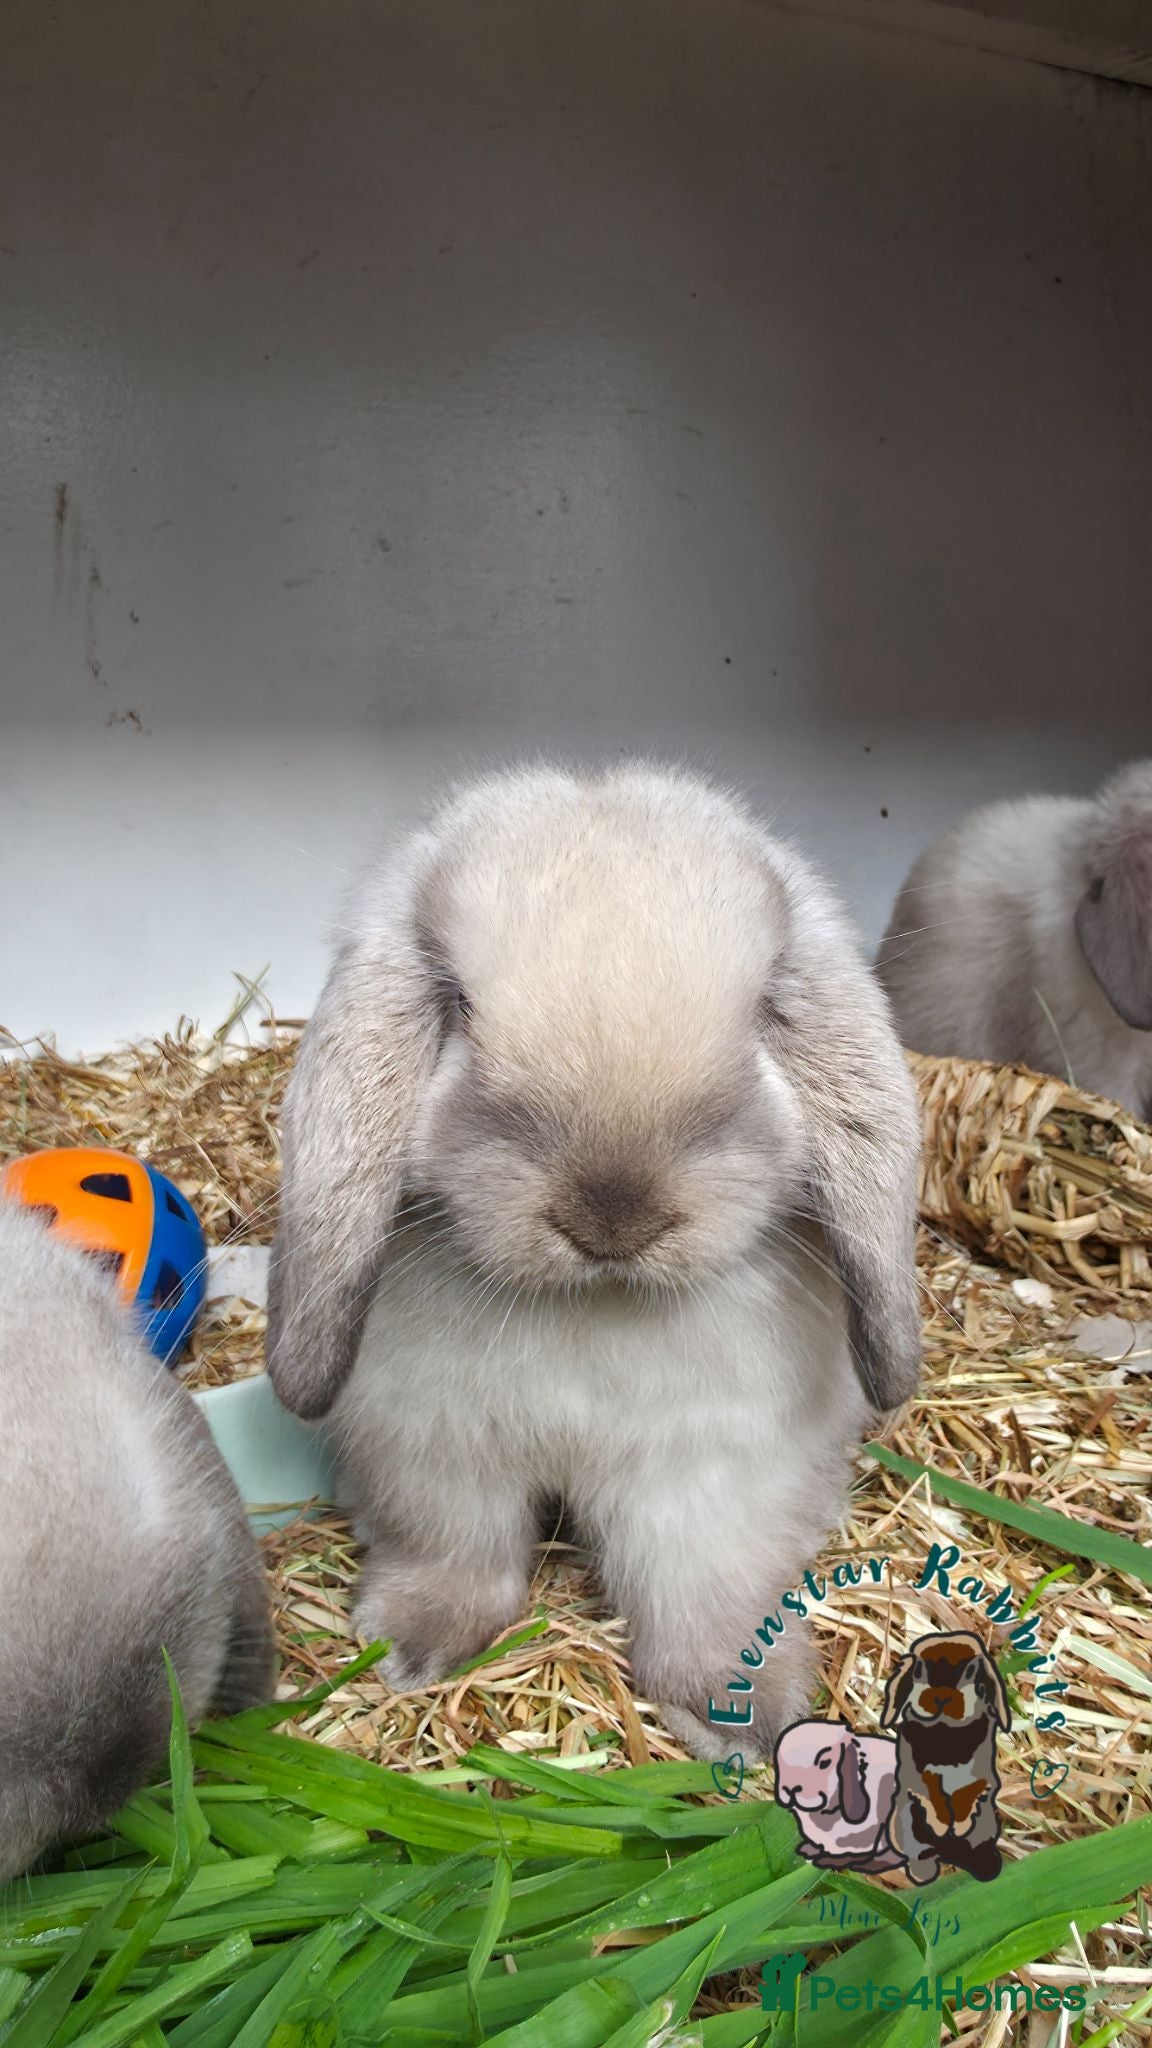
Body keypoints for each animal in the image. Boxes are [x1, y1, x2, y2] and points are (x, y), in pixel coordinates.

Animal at [266, 761, 921, 1762]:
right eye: (457, 1004)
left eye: (766, 1008)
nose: (613, 1215)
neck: (594, 1309)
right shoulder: (435, 1454)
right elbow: (454, 1554)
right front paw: (412, 1646)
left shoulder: (705, 1481)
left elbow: (700, 1595)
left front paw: (746, 1718)